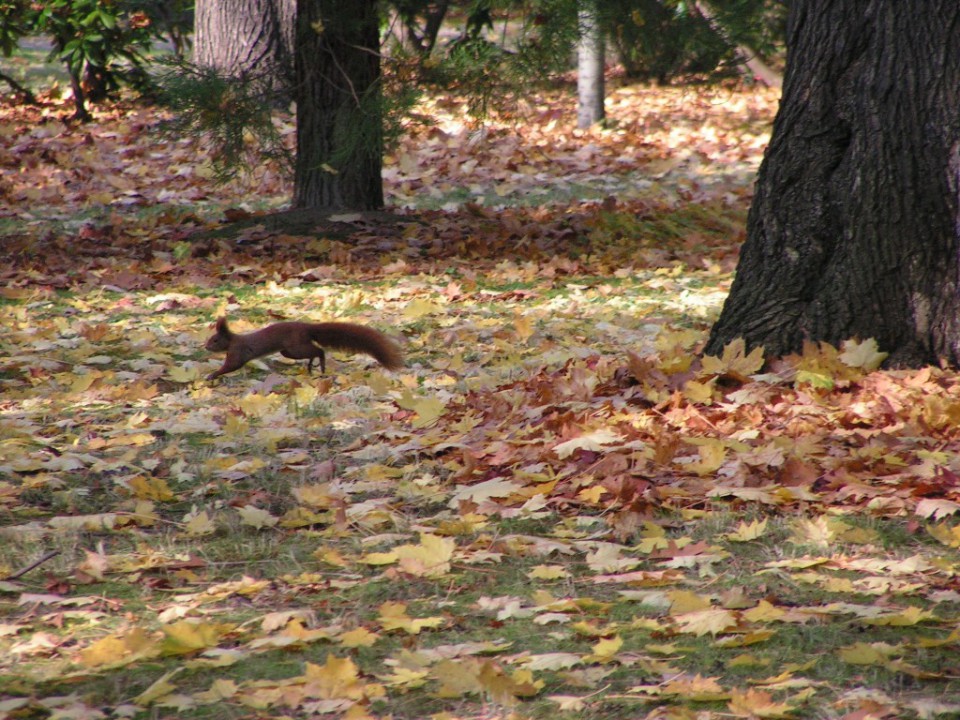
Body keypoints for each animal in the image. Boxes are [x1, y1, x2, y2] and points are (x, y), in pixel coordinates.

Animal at [204, 316, 404, 382]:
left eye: (215, 340)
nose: (206, 347)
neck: (232, 340)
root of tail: (307, 328)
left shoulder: (238, 351)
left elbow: (232, 365)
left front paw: (211, 375)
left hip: (295, 347)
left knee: (319, 350)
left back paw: (320, 364)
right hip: (289, 350)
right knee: (313, 351)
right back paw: (311, 365)